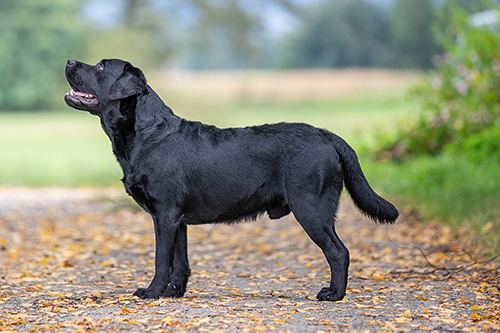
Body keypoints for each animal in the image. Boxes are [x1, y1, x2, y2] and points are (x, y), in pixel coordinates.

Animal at [63, 57, 398, 300]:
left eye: (101, 66)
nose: (69, 61)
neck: (147, 135)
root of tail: (326, 135)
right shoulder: (177, 220)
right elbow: (180, 263)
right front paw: (174, 293)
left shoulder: (164, 214)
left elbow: (161, 260)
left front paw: (152, 292)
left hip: (311, 208)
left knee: (339, 252)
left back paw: (334, 294)